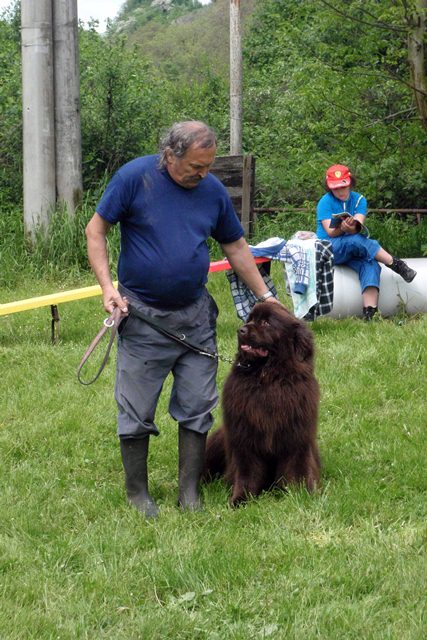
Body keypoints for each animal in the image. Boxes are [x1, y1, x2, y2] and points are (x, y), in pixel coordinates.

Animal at [205, 302, 320, 508]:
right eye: (250, 319)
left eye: (266, 323)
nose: (241, 330)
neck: (268, 379)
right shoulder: (245, 439)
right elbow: (246, 473)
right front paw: (240, 499)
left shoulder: (297, 437)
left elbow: (297, 469)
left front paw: (300, 495)